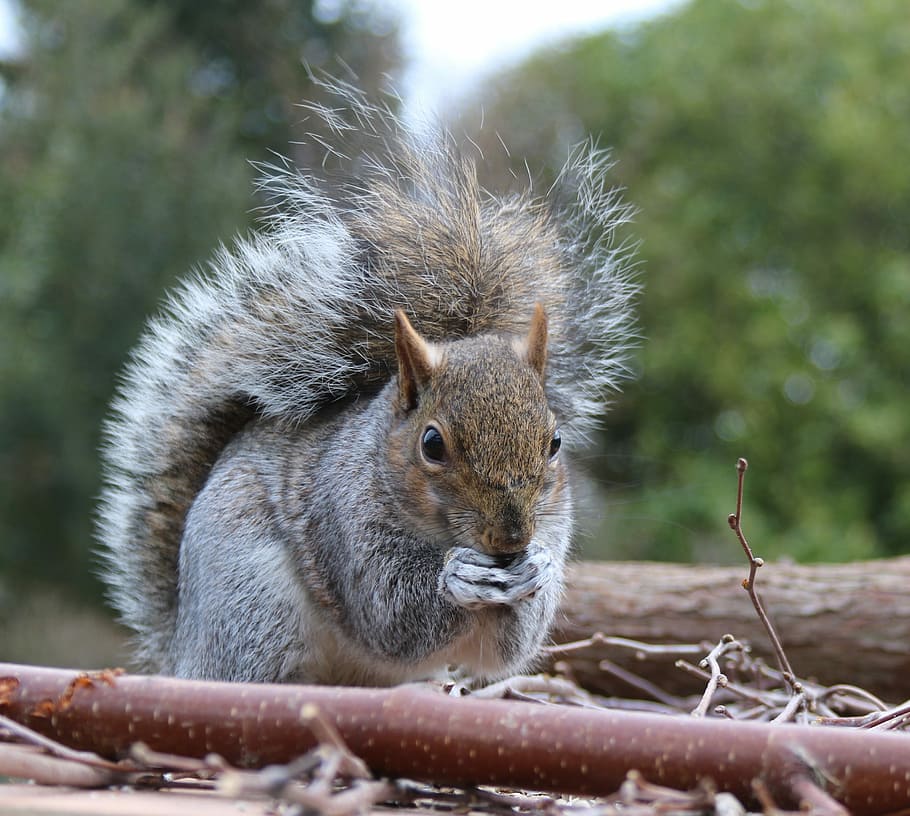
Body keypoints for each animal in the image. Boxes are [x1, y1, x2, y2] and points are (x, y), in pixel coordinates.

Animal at [97, 84, 637, 686]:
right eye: (432, 444)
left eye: (555, 443)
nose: (511, 539)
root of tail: (180, 651)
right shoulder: (344, 520)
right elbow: (391, 613)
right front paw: (458, 577)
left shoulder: (554, 522)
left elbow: (505, 649)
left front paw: (536, 567)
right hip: (251, 610)